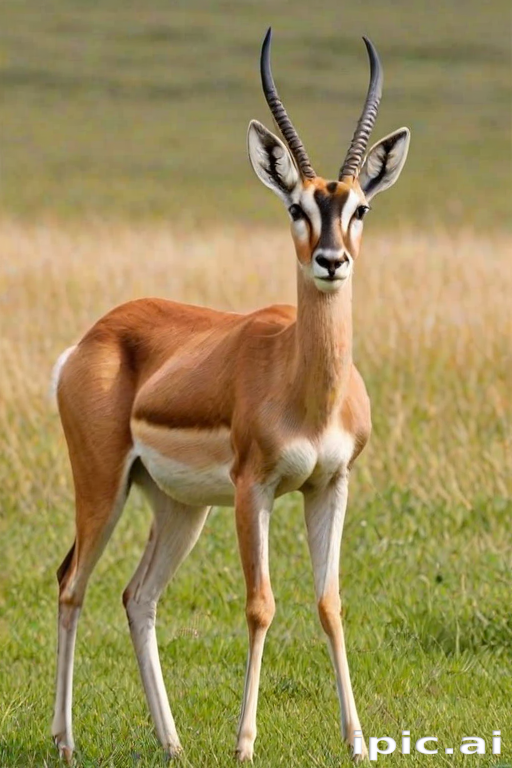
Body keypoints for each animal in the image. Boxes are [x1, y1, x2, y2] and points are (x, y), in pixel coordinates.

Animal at [51, 28, 410, 764]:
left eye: (358, 207)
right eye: (296, 207)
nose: (332, 261)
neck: (307, 390)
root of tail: (92, 337)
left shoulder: (331, 485)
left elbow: (330, 603)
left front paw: (358, 742)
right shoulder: (255, 488)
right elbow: (260, 603)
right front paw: (245, 743)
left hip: (177, 507)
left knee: (137, 596)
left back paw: (172, 743)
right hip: (101, 487)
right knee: (73, 587)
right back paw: (66, 742)